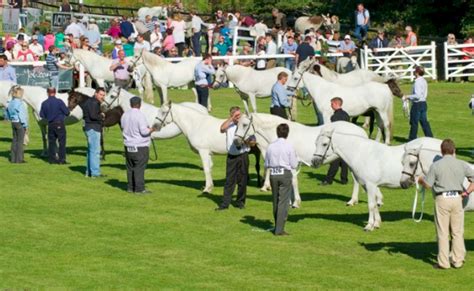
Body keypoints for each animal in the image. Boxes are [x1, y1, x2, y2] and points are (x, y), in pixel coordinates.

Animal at [231, 113, 368, 209]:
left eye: (244, 125)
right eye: (236, 124)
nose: (236, 141)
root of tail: (361, 132)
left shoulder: (293, 163)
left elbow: (294, 181)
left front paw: (296, 203)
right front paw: (290, 201)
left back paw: (352, 201)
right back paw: (353, 201)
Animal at [312, 122, 442, 232]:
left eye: (324, 144)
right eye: (315, 143)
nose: (314, 161)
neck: (361, 153)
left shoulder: (370, 185)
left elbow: (370, 205)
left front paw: (369, 226)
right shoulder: (368, 186)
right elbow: (374, 204)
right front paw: (377, 223)